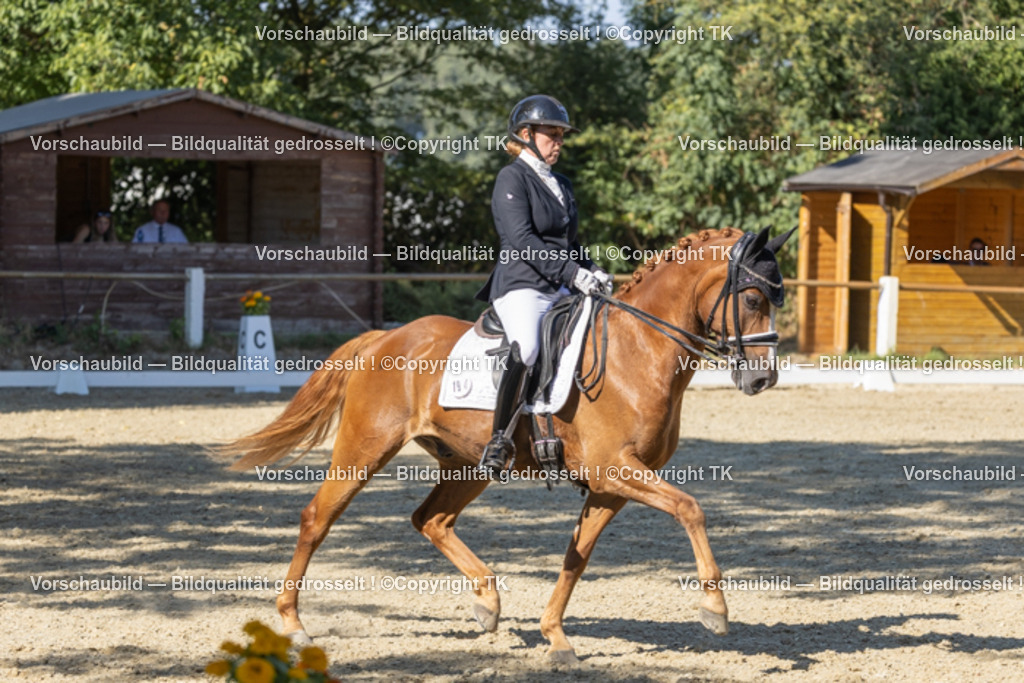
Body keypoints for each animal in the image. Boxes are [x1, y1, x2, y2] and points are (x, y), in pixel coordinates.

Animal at [221, 226, 793, 665]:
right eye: (751, 298)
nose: (764, 379)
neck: (637, 351)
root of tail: (385, 337)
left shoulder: (612, 485)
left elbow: (577, 557)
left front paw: (555, 638)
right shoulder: (615, 470)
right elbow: (691, 508)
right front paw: (715, 611)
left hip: (469, 465)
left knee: (431, 520)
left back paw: (488, 602)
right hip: (365, 450)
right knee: (317, 518)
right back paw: (293, 625)